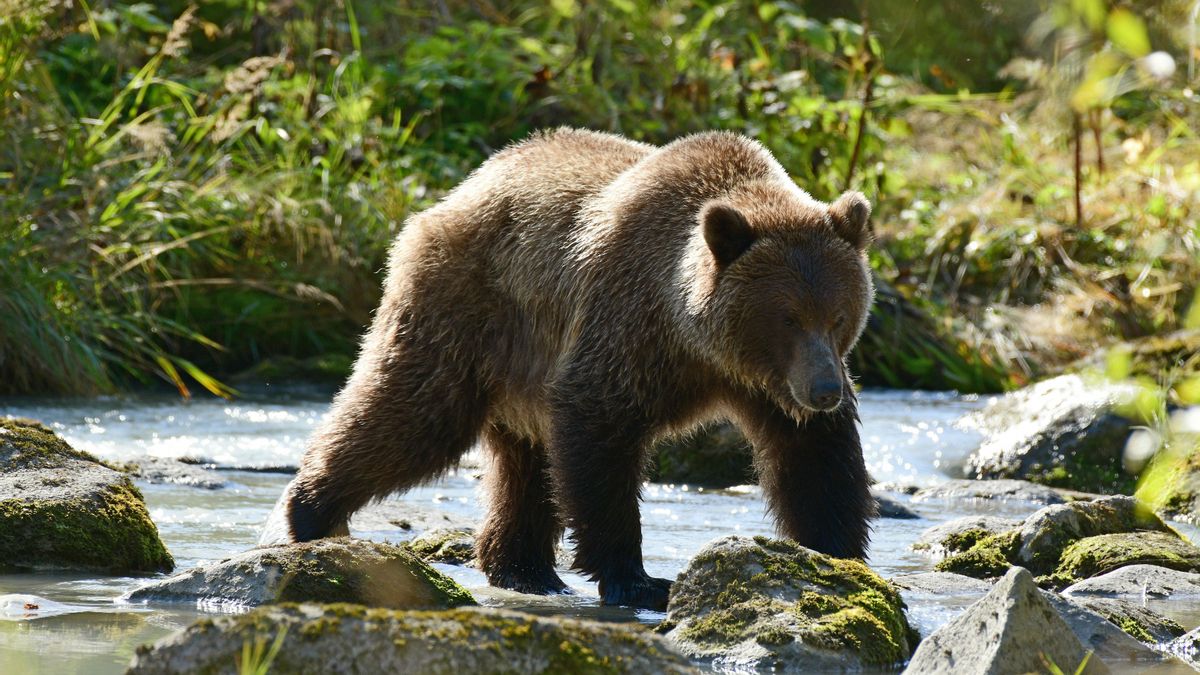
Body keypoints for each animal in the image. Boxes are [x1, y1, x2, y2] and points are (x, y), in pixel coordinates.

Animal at [263, 128, 876, 611]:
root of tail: (458, 192)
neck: (697, 341)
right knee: (413, 413)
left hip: (519, 366)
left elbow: (814, 459)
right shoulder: (627, 326)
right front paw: (638, 579)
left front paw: (839, 556)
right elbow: (599, 430)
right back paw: (309, 512)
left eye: (839, 316)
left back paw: (524, 567)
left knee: (524, 465)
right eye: (788, 317)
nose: (825, 390)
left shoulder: (767, 385)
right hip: (468, 312)